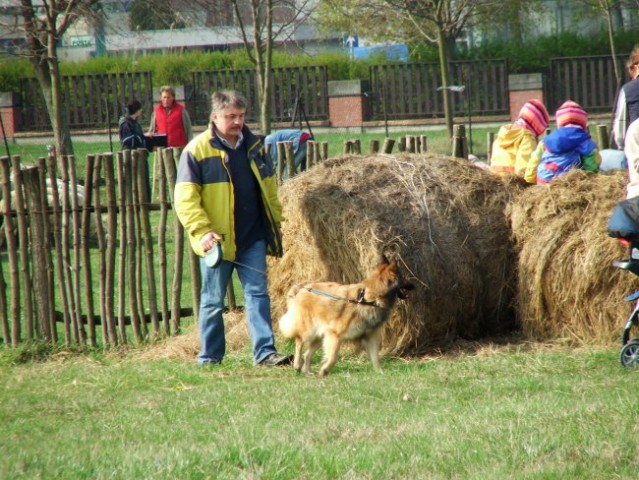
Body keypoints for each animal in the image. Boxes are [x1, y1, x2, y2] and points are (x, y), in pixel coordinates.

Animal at [280, 256, 416, 376]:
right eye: (403, 277)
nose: (415, 285)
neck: (369, 298)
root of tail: (302, 288)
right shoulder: (335, 335)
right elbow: (333, 356)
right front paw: (325, 370)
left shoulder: (370, 337)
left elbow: (376, 358)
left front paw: (381, 373)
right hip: (309, 330)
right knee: (299, 342)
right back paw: (297, 364)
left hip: (321, 334)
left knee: (307, 353)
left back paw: (307, 371)